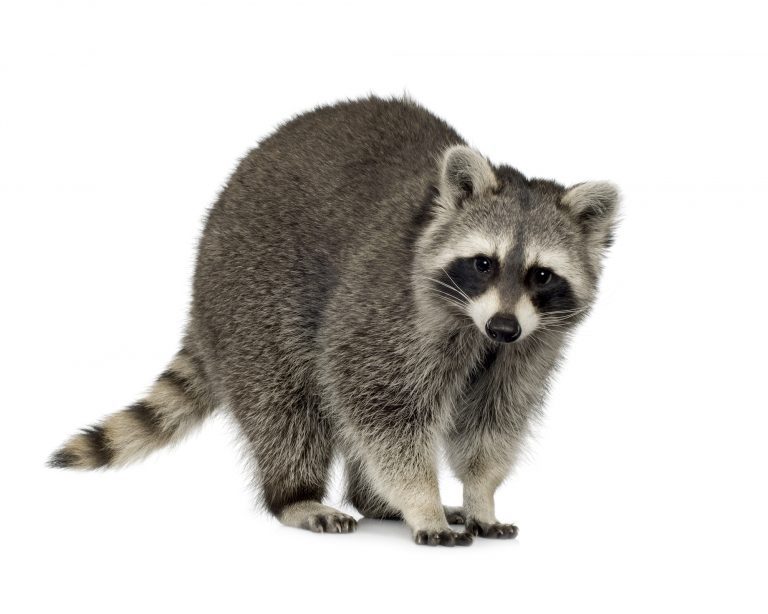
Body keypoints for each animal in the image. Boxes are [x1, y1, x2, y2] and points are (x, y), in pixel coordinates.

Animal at [49, 96, 619, 546]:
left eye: (541, 274)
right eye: (483, 263)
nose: (502, 328)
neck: (474, 323)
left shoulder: (532, 345)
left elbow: (494, 420)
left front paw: (480, 496)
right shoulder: (386, 309)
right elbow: (381, 407)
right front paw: (422, 500)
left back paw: (374, 501)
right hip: (250, 296)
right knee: (286, 406)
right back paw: (296, 495)